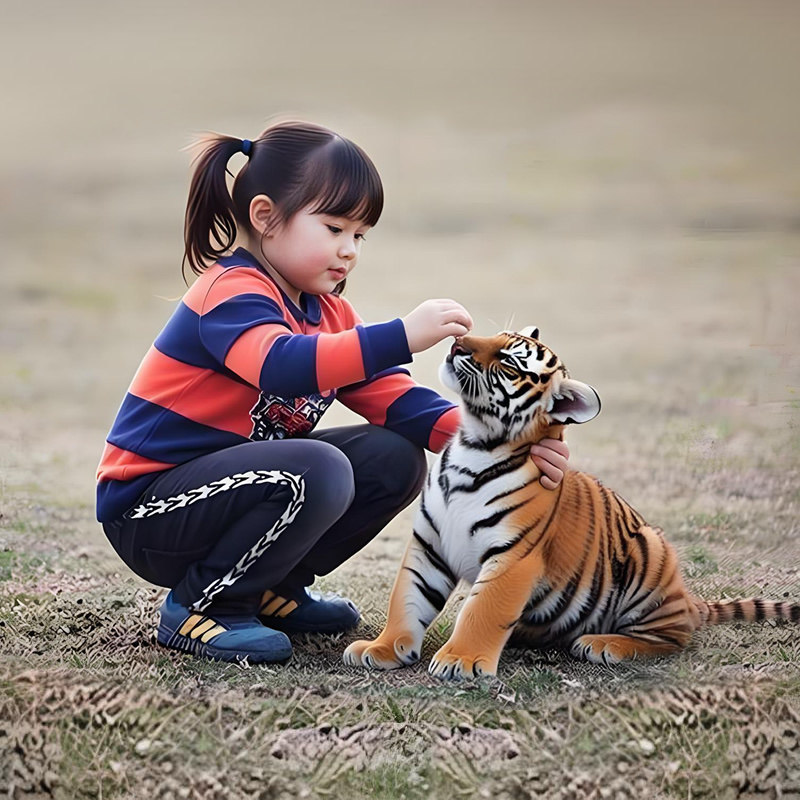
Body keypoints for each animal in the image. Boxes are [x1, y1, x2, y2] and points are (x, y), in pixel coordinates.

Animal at [343, 327, 800, 680]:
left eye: (509, 362)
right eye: (493, 336)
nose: (457, 343)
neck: (473, 445)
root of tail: (688, 598)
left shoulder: (513, 556)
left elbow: (482, 610)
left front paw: (461, 660)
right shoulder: (429, 545)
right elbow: (406, 599)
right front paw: (383, 649)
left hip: (650, 553)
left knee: (674, 635)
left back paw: (604, 644)